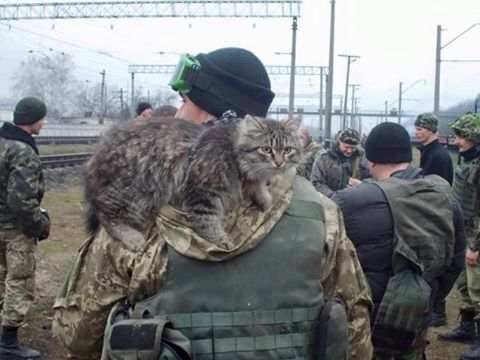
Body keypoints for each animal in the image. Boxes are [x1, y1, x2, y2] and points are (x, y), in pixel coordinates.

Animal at [84, 115, 302, 250]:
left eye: (287, 150)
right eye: (266, 149)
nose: (279, 162)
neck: (234, 156)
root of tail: (97, 151)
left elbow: (256, 186)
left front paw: (264, 198)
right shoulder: (201, 191)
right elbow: (208, 221)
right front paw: (221, 241)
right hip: (128, 193)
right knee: (107, 216)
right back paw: (131, 236)